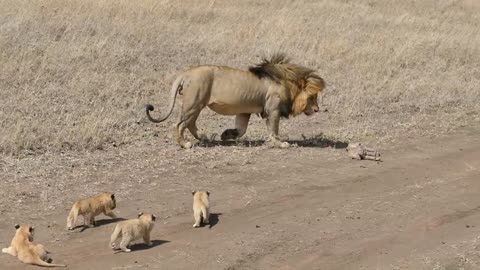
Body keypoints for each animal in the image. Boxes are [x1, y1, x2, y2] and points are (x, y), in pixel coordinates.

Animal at [146, 53, 324, 149]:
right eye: (312, 97)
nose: (317, 110)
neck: (286, 83)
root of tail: (186, 73)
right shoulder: (273, 110)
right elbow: (274, 130)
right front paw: (280, 144)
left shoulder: (245, 111)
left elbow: (241, 129)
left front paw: (226, 134)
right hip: (194, 103)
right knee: (179, 124)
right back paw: (186, 145)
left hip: (197, 105)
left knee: (190, 124)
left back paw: (204, 137)